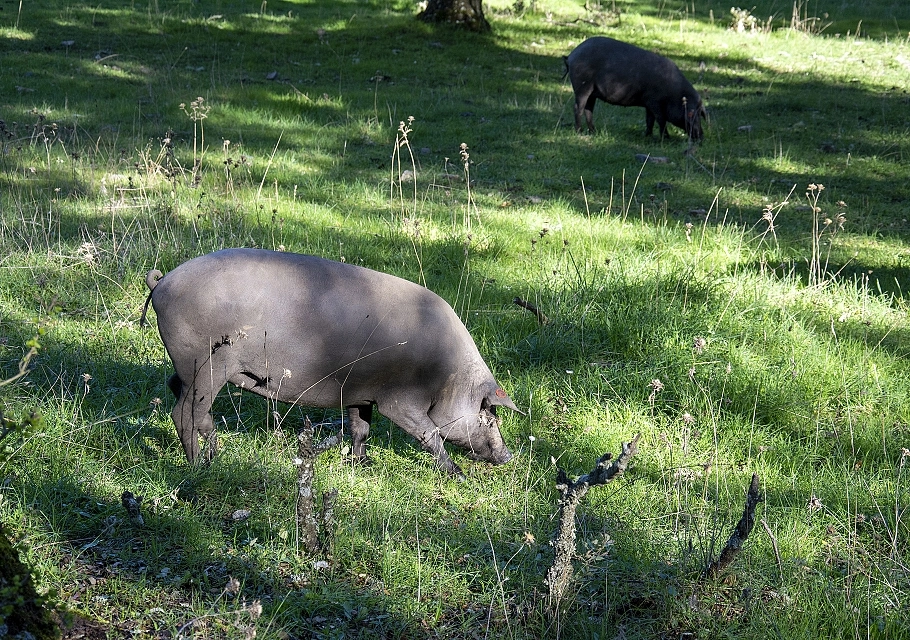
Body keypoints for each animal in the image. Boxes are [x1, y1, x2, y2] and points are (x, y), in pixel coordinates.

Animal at [146, 248, 524, 478]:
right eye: (489, 416)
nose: (508, 456)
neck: (445, 375)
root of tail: (163, 281)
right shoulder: (399, 401)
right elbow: (429, 434)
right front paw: (457, 474)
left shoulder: (360, 391)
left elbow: (361, 427)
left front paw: (363, 463)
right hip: (205, 364)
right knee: (184, 414)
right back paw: (199, 467)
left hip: (189, 367)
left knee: (183, 397)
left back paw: (215, 456)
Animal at [568, 36, 708, 141]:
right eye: (692, 114)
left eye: (700, 114)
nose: (701, 136)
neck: (674, 93)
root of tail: (571, 55)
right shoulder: (655, 103)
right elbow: (661, 120)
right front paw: (666, 138)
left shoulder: (648, 104)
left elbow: (650, 120)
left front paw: (648, 136)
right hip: (582, 86)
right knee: (578, 108)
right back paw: (579, 131)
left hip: (591, 92)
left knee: (588, 110)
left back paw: (593, 131)